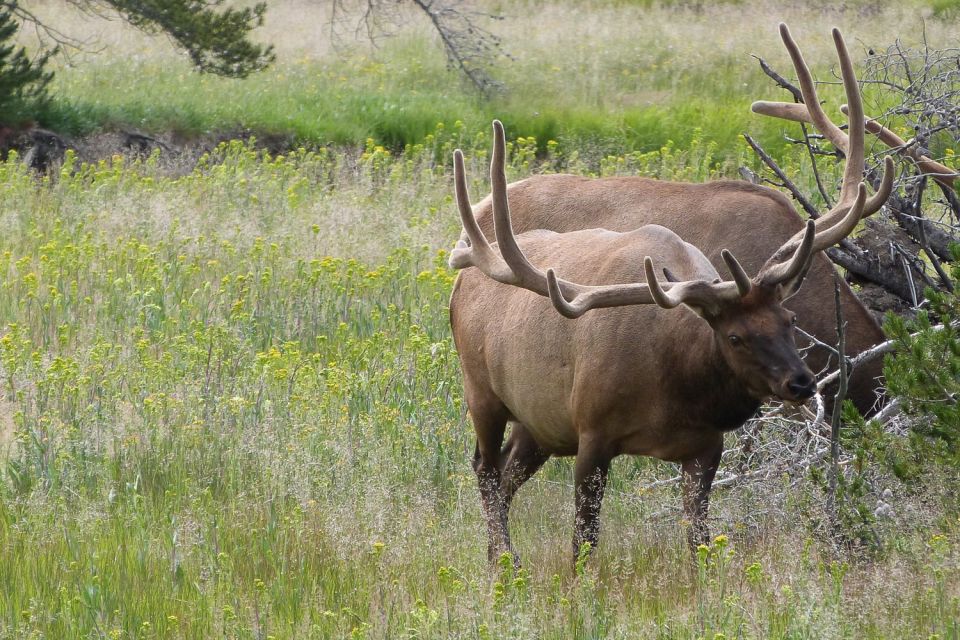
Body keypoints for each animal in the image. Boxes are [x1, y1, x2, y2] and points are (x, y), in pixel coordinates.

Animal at [448, 117, 884, 564]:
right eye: (735, 336)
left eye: (790, 320)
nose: (801, 382)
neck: (673, 388)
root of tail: (464, 276)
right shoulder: (592, 433)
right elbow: (583, 544)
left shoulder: (706, 447)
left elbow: (699, 542)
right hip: (482, 392)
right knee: (485, 468)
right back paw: (502, 560)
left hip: (538, 422)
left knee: (506, 473)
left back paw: (500, 556)